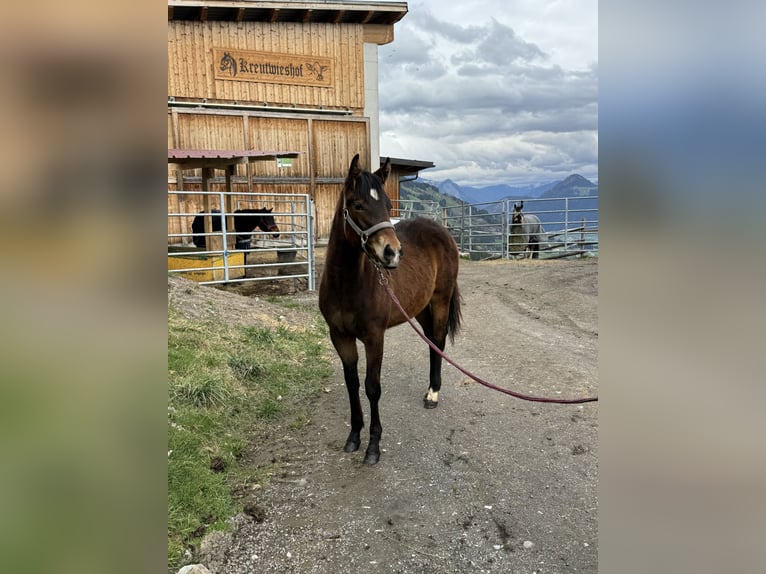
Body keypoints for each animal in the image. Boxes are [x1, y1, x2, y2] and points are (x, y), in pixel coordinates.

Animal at [318, 155, 462, 466]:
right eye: (358, 204)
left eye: (386, 203)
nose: (392, 252)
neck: (347, 285)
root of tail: (442, 231)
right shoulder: (339, 336)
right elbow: (352, 383)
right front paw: (354, 437)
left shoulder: (375, 337)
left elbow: (372, 387)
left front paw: (373, 447)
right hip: (419, 308)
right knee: (432, 341)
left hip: (440, 301)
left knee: (439, 340)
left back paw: (433, 394)